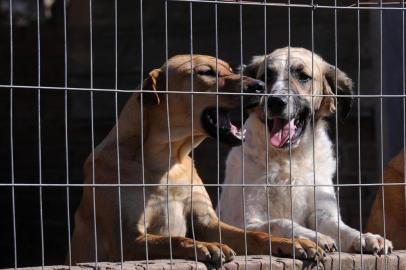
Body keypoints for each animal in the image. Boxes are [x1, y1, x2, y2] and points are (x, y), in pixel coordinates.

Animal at [219, 47, 394, 255]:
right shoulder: (244, 222)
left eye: (303, 76)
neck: (289, 159)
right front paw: (314, 237)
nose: (275, 102)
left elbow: (342, 228)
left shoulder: (322, 212)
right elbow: (282, 222)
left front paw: (365, 237)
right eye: (266, 76)